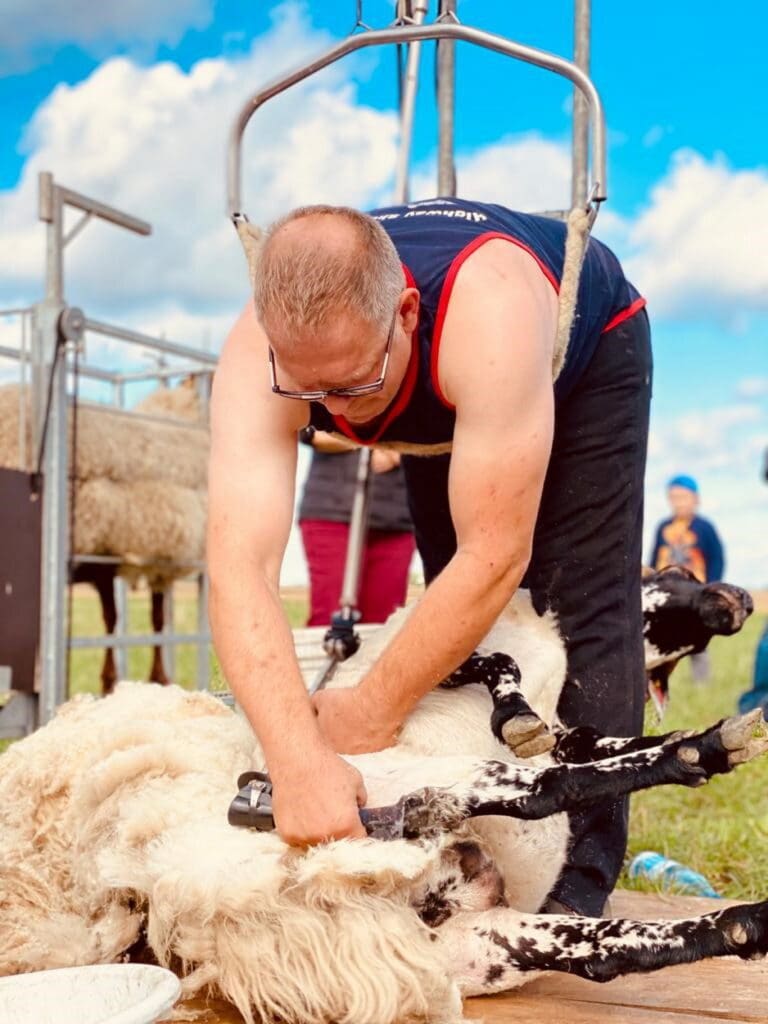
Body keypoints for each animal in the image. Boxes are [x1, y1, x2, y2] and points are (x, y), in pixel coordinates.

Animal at [1, 593, 768, 1024]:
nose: (734, 599)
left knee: (598, 944)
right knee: (521, 793)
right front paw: (690, 748)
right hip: (397, 817)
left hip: (473, 942)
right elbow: (540, 754)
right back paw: (704, 752)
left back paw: (741, 924)